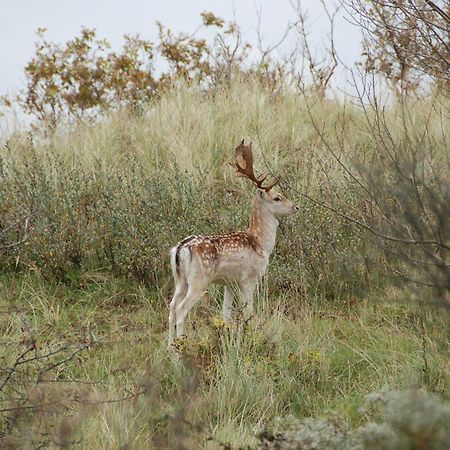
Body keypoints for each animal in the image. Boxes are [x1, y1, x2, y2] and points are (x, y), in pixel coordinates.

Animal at [167, 141, 298, 348]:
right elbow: (250, 312)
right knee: (181, 309)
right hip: (199, 280)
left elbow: (225, 314)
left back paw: (169, 348)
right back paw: (180, 349)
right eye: (277, 197)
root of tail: (180, 249)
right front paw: (251, 336)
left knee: (171, 307)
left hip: (179, 280)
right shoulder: (249, 279)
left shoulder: (229, 283)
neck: (260, 242)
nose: (295, 207)